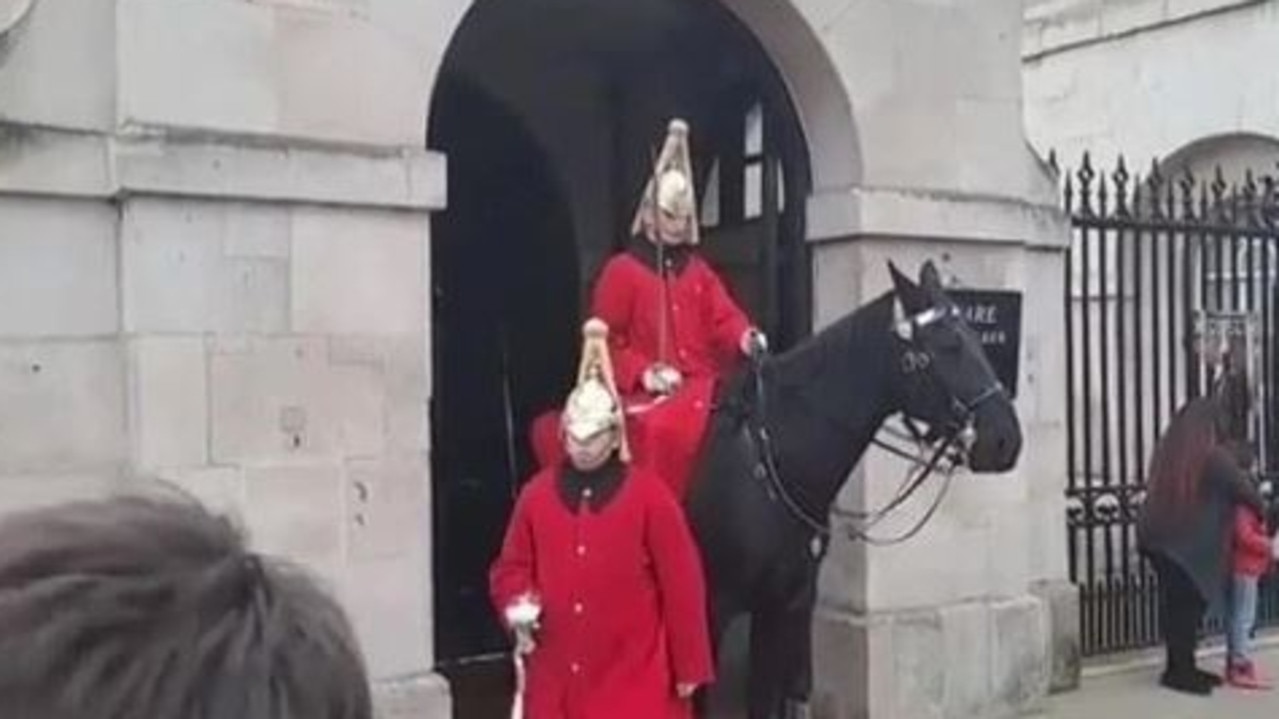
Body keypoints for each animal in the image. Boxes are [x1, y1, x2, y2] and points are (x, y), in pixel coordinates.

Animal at [685, 259, 1023, 711]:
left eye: (974, 337)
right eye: (950, 346)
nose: (1006, 440)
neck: (768, 461)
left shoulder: (782, 605)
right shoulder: (711, 610)